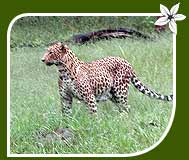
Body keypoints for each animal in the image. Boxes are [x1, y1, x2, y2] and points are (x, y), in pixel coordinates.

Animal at [41, 42, 173, 115]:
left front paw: (94, 128)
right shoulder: (65, 97)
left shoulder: (89, 97)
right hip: (113, 95)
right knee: (124, 108)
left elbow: (93, 115)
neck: (63, 71)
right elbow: (66, 114)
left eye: (51, 52)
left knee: (126, 107)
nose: (42, 59)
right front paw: (66, 127)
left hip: (120, 91)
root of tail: (126, 61)